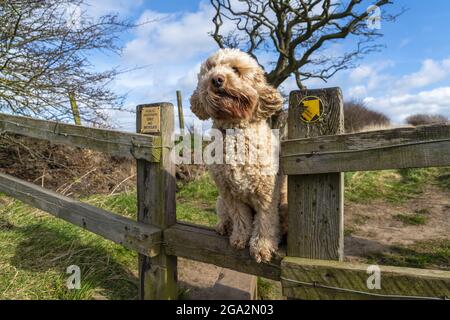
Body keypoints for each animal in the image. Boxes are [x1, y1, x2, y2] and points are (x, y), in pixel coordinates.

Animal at [189, 48, 286, 262]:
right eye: (210, 68)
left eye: (235, 69)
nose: (216, 79)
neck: (234, 128)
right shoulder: (229, 193)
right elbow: (240, 219)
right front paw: (240, 238)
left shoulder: (267, 193)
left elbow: (265, 221)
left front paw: (262, 246)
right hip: (220, 201)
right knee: (225, 216)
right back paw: (224, 226)